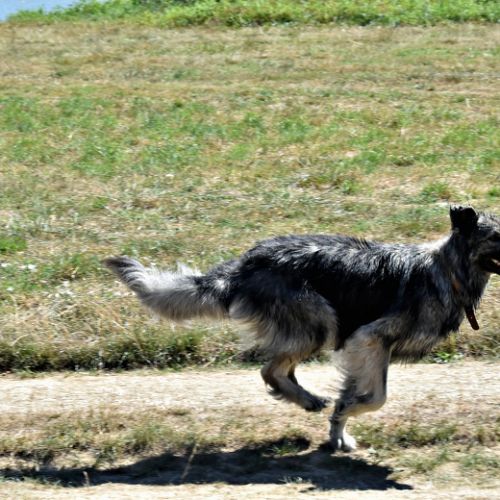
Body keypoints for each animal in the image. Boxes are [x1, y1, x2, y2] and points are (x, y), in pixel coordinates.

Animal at [105, 205, 500, 451]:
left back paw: (305, 398)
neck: (448, 272)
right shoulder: (369, 338)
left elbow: (352, 395)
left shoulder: (365, 348)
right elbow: (376, 398)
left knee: (280, 370)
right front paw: (342, 416)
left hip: (313, 327)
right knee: (269, 370)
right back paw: (307, 399)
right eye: (497, 236)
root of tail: (245, 265)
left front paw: (338, 431)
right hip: (320, 322)